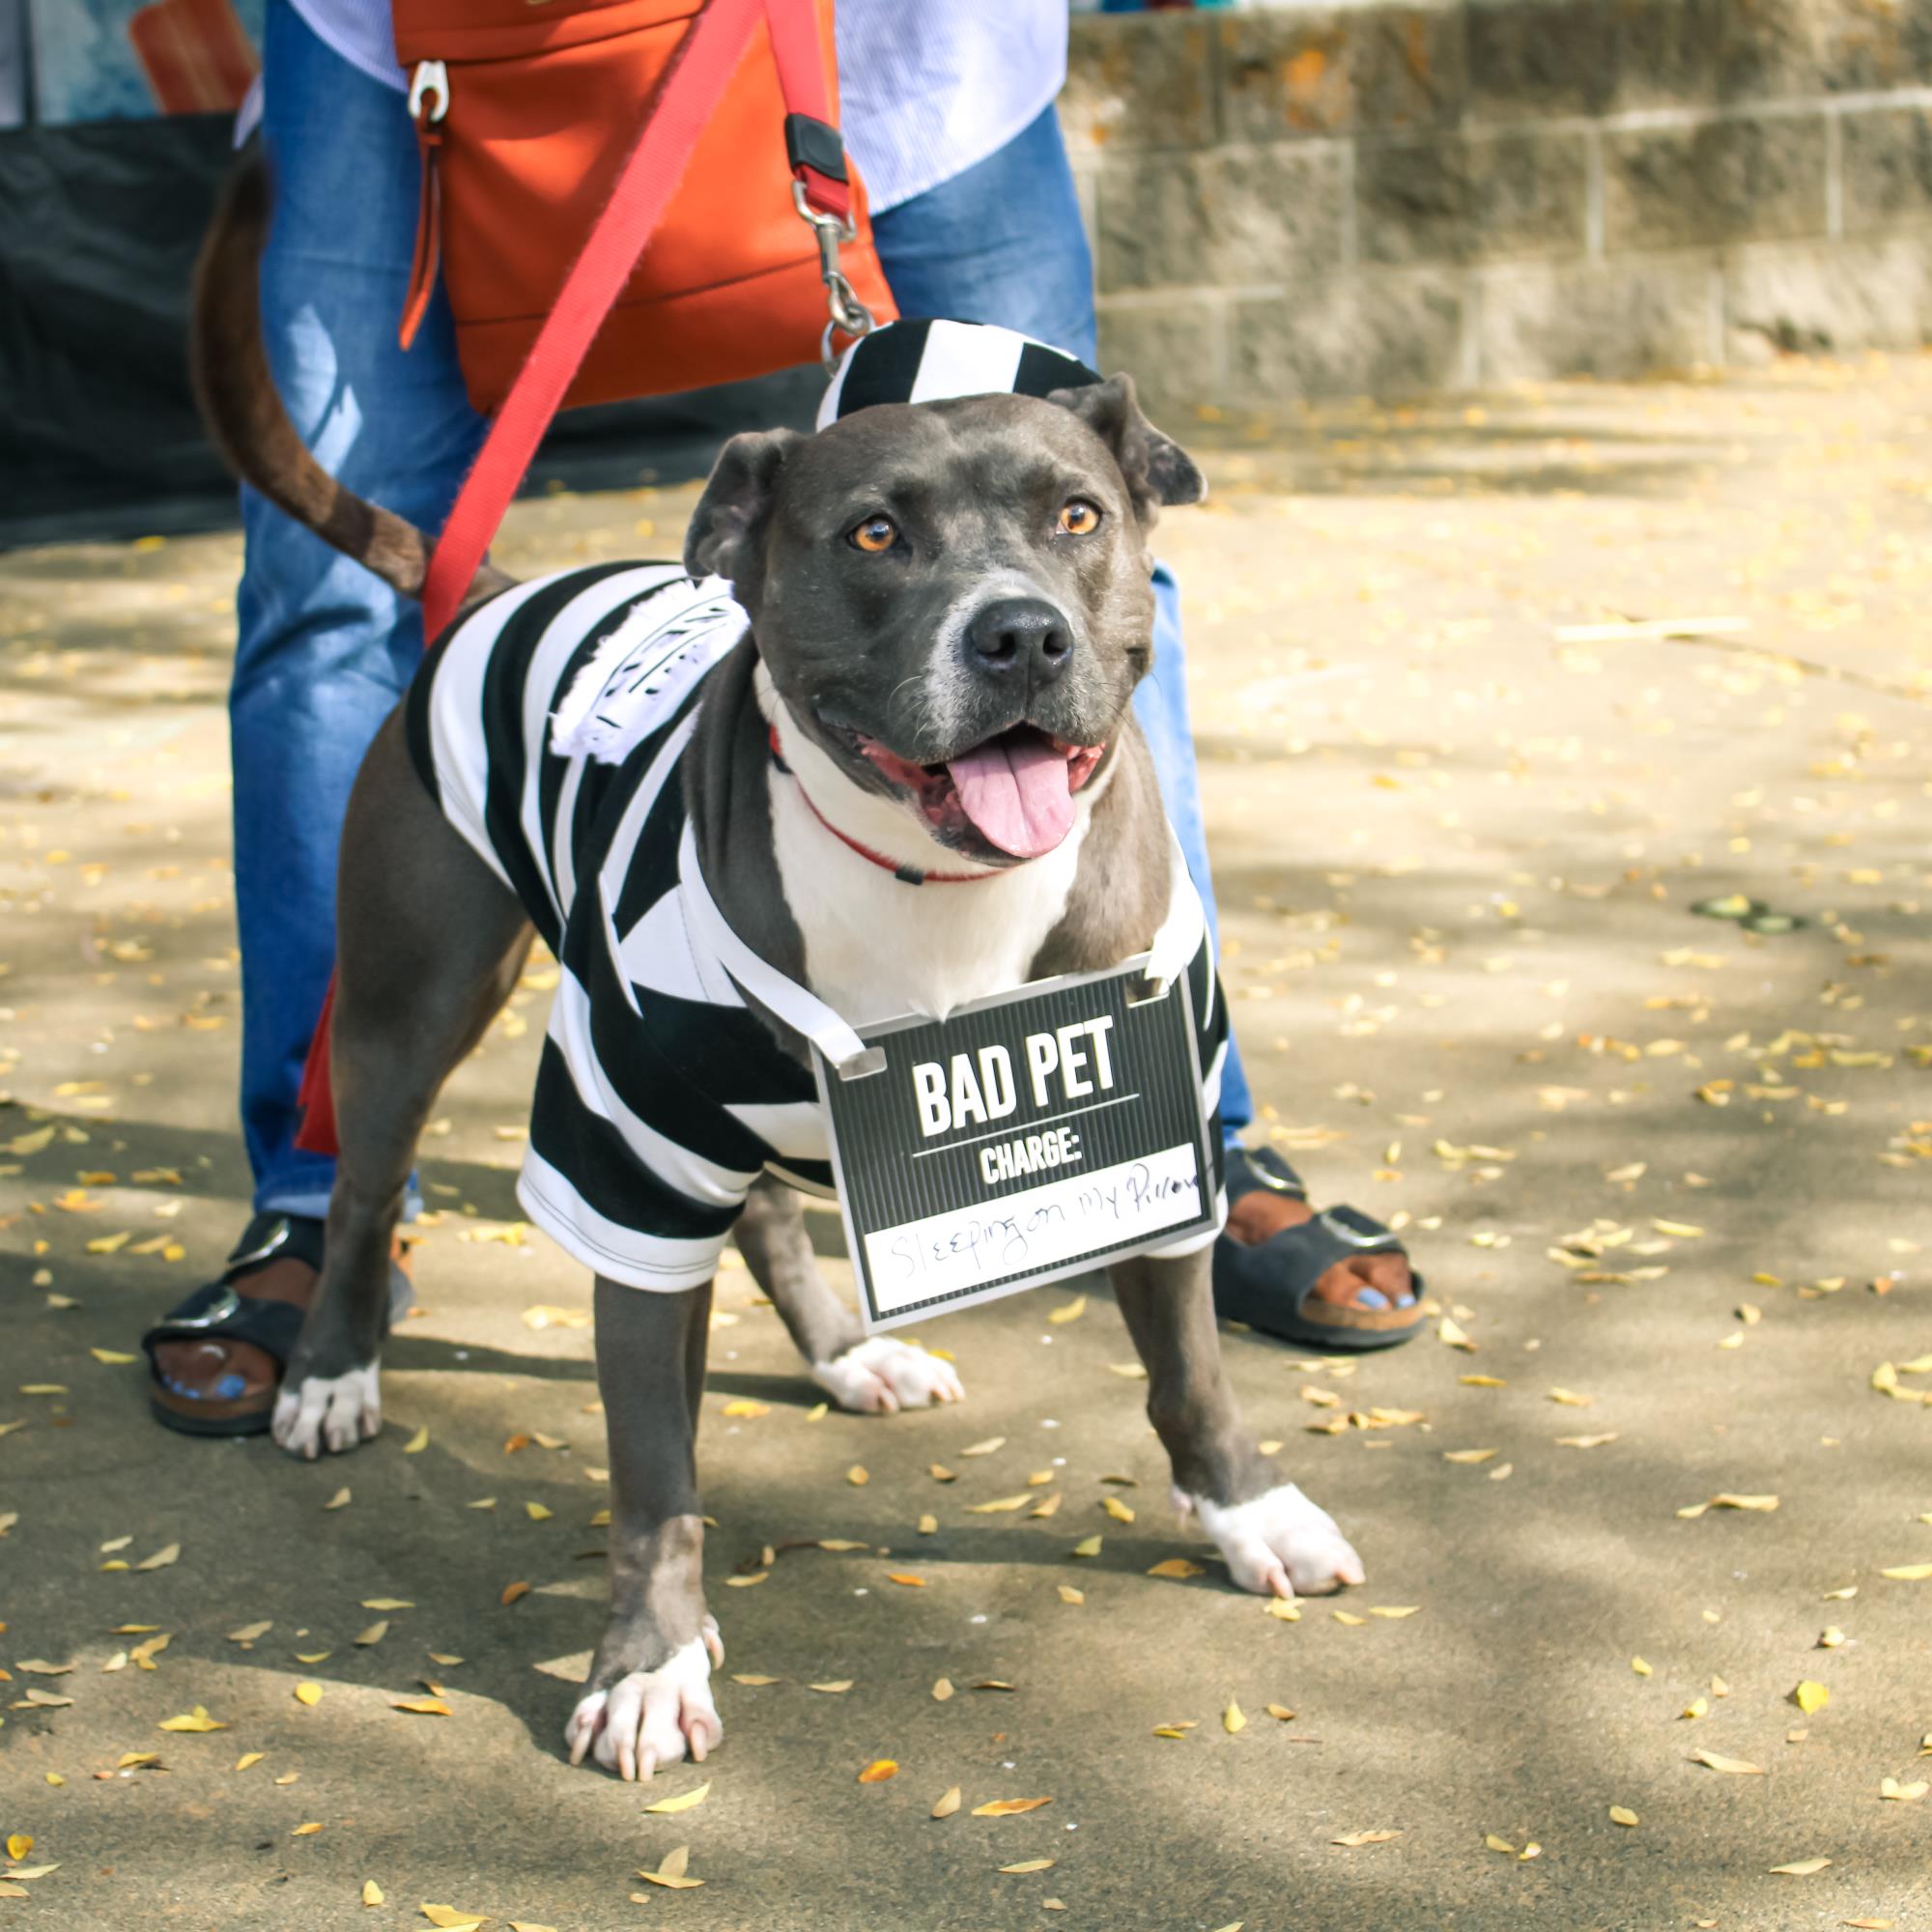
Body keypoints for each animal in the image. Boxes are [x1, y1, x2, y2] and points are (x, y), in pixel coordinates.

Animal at [196, 162, 1368, 1777]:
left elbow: (1189, 1365)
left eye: (1077, 515)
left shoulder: (1149, 1130)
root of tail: (495, 588)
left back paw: (848, 1354)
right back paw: (328, 1370)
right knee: (368, 1189)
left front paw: (1252, 1512)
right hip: (405, 1006)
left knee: (763, 1217)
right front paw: (649, 1665)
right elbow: (652, 1476)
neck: (940, 886)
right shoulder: (628, 1162)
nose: (1019, 635)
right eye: (874, 536)